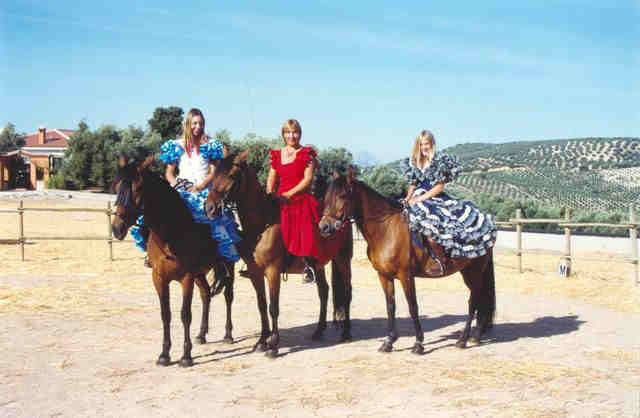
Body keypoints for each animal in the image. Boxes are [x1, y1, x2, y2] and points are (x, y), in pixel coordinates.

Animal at [110, 156, 232, 366]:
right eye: (117, 187)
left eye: (138, 188)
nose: (117, 228)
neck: (171, 233)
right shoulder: (159, 278)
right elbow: (165, 315)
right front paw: (164, 355)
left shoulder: (186, 278)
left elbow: (185, 315)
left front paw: (186, 356)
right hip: (200, 274)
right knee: (206, 295)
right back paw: (201, 335)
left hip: (227, 266)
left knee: (228, 297)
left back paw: (228, 335)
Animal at [204, 150, 356, 356]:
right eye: (215, 174)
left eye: (232, 175)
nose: (209, 208)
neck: (262, 224)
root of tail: (341, 218)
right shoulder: (255, 272)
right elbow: (261, 305)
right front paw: (261, 341)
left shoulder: (273, 271)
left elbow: (273, 307)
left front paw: (273, 345)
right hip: (319, 265)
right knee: (324, 292)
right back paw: (318, 331)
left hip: (342, 260)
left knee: (347, 291)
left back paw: (346, 333)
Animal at [318, 171, 496, 354]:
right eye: (326, 197)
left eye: (342, 196)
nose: (324, 227)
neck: (386, 230)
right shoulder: (384, 276)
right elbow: (390, 306)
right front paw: (389, 342)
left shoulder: (406, 276)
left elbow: (413, 306)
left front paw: (418, 343)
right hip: (469, 271)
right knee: (480, 300)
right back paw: (476, 336)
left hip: (474, 272)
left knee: (473, 302)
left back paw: (462, 340)